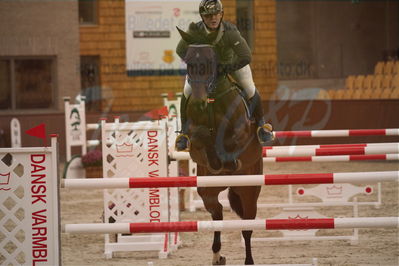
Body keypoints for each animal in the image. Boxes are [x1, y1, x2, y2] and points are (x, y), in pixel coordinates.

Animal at [179, 27, 266, 264]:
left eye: (212, 61)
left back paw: (248, 260)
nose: (199, 101)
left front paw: (227, 160)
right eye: (188, 61)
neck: (211, 101)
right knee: (217, 212)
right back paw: (217, 255)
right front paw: (215, 158)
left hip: (249, 190)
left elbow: (229, 140)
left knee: (247, 226)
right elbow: (201, 137)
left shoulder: (241, 131)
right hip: (207, 189)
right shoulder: (195, 137)